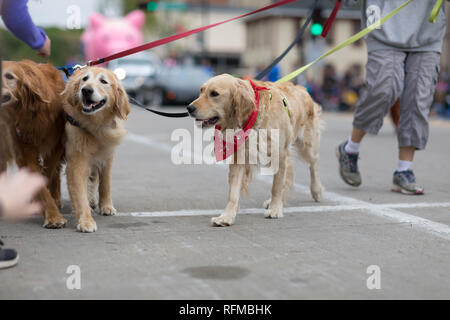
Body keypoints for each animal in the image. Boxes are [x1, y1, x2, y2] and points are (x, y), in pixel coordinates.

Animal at [0, 60, 67, 229]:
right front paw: (52, 215)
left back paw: (56, 197)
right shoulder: (24, 149)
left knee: (55, 172)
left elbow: (47, 174)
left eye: (9, 76)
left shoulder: (56, 145)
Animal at [61, 67, 129, 232]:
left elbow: (105, 184)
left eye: (103, 81)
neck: (95, 125)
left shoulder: (107, 157)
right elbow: (80, 193)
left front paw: (106, 206)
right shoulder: (77, 162)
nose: (86, 90)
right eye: (84, 79)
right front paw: (86, 220)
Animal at [188, 74, 322, 226]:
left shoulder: (280, 154)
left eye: (214, 93)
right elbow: (233, 192)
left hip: (307, 145)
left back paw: (316, 190)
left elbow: (276, 186)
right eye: (201, 91)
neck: (255, 114)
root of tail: (302, 88)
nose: (189, 108)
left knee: (313, 164)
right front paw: (226, 216)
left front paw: (275, 209)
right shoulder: (240, 157)